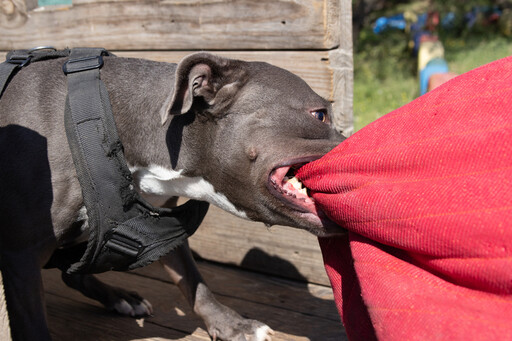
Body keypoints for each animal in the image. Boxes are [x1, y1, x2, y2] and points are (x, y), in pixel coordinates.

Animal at [1, 51, 344, 340]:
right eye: (320, 115)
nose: (353, 141)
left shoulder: (165, 224)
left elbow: (192, 280)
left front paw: (231, 325)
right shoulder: (21, 255)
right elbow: (31, 324)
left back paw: (121, 298)